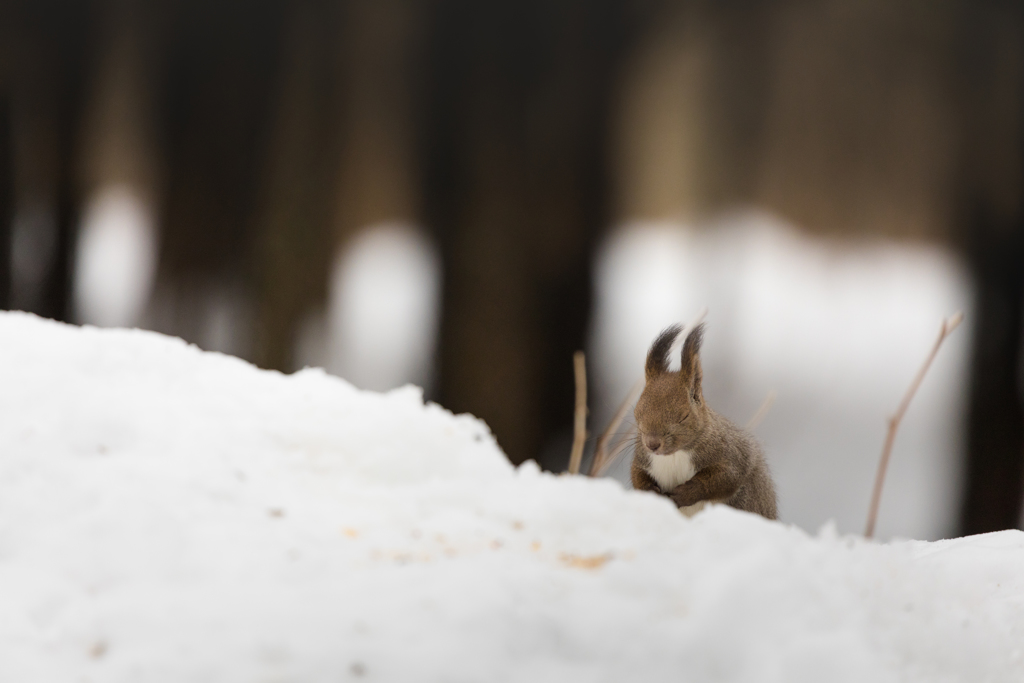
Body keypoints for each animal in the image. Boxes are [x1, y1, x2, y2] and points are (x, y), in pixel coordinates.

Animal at [630, 323, 774, 520]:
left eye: (683, 416)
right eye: (637, 413)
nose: (652, 444)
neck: (675, 455)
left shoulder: (733, 455)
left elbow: (725, 478)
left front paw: (685, 493)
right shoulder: (642, 459)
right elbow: (637, 476)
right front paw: (650, 492)